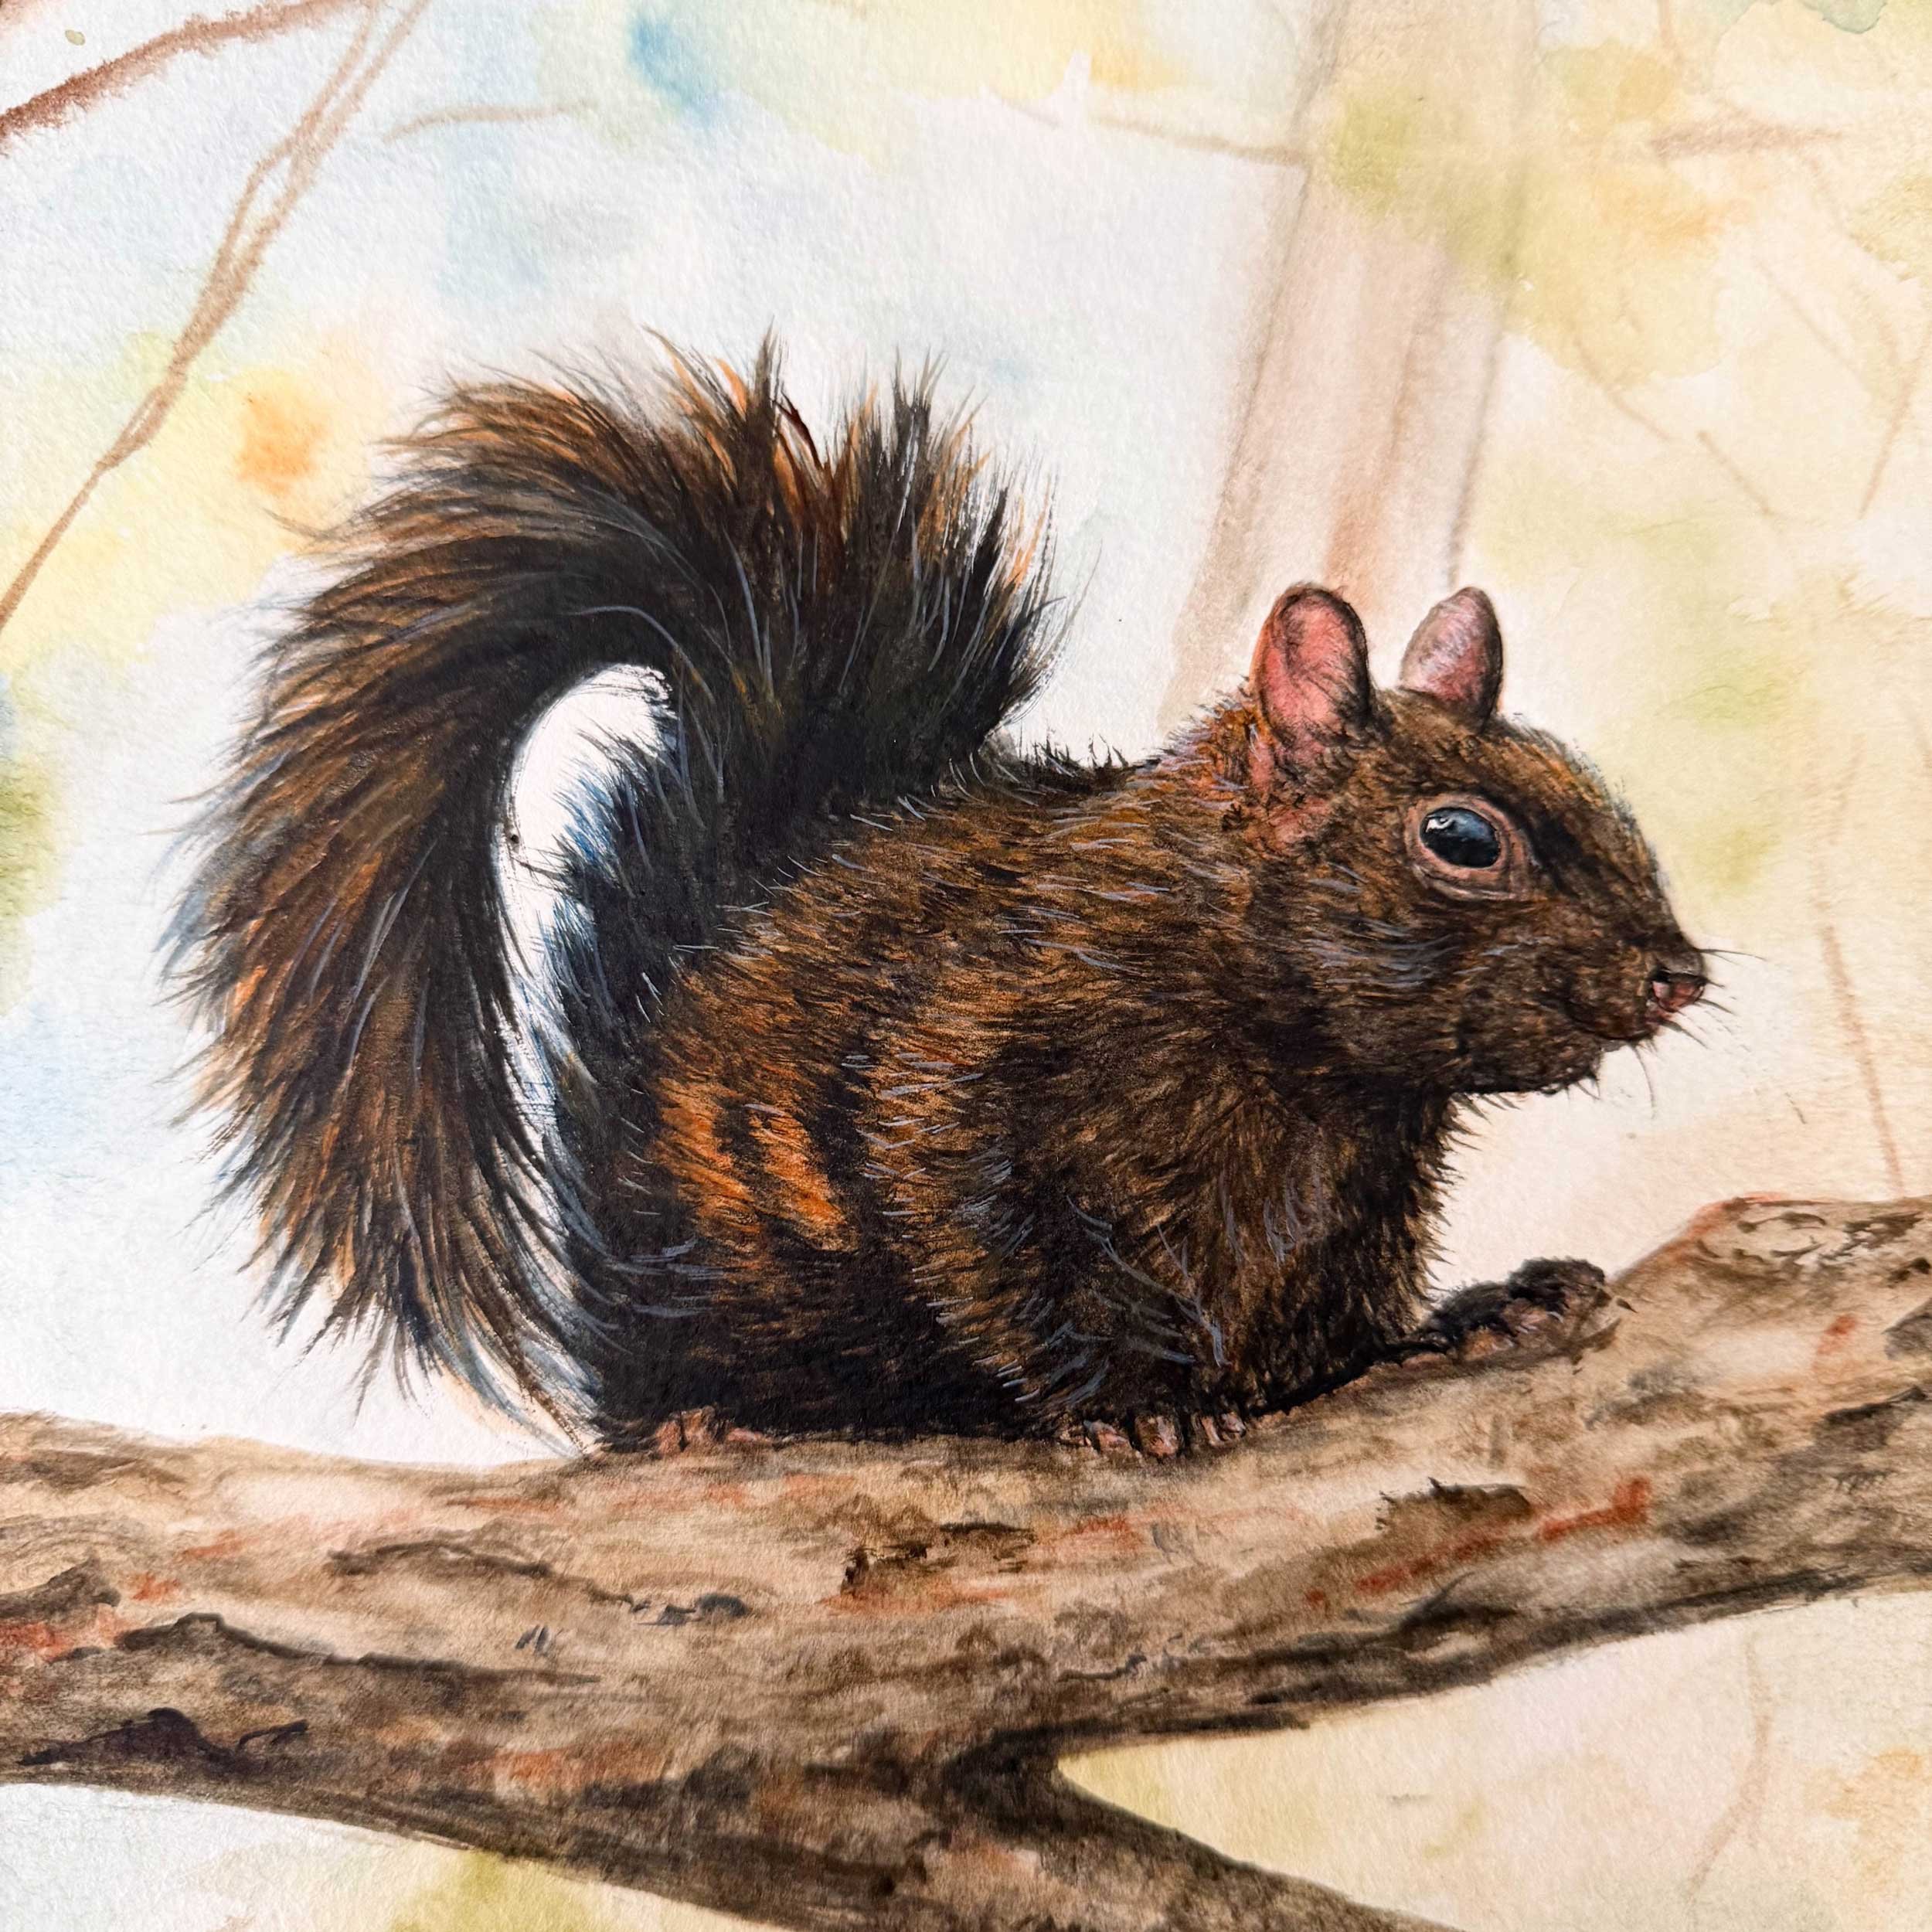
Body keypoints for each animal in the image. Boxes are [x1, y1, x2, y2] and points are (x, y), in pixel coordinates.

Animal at [173, 341, 1706, 1453]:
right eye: (1462, 838)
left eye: (1590, 786)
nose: (1677, 974)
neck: (1306, 1078)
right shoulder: (967, 1077)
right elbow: (995, 1246)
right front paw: (1135, 1405)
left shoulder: (1355, 1206)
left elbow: (1330, 1337)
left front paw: (1463, 1317)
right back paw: (709, 1419)